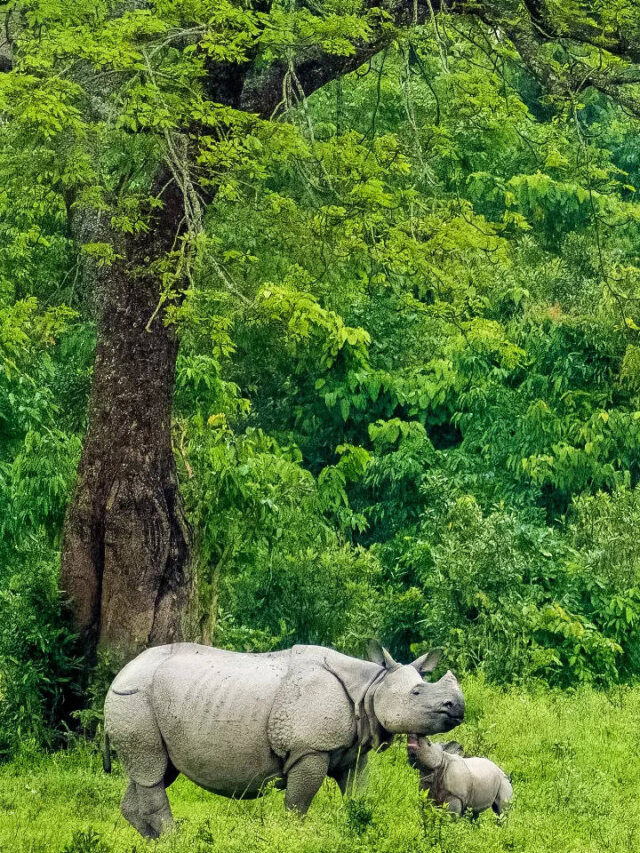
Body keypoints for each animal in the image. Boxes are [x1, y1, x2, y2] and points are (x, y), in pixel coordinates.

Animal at [106, 644, 464, 836]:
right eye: (416, 693)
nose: (458, 707)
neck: (372, 685)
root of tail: (121, 672)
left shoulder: (353, 753)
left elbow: (359, 797)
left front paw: (359, 829)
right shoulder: (309, 750)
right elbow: (298, 805)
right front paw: (294, 836)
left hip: (146, 703)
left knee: (152, 773)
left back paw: (155, 841)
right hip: (134, 698)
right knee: (151, 772)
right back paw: (175, 840)